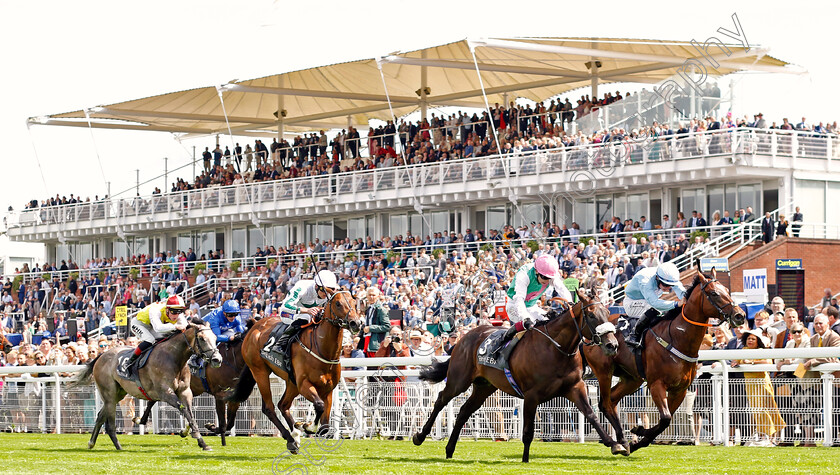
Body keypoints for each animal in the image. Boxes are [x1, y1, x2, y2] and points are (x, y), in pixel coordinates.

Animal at [74, 318, 221, 452]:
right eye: (202, 338)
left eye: (215, 337)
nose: (217, 359)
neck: (174, 357)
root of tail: (101, 355)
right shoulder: (165, 392)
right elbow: (184, 410)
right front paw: (195, 435)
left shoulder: (185, 392)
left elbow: (189, 413)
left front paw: (201, 442)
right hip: (109, 393)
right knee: (109, 423)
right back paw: (118, 447)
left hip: (118, 394)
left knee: (100, 416)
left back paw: (92, 443)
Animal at [228, 288, 360, 456]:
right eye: (338, 303)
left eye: (355, 302)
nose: (356, 323)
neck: (322, 348)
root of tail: (254, 326)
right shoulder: (304, 385)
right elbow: (319, 406)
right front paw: (308, 426)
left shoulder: (328, 389)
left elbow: (325, 427)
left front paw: (305, 427)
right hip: (260, 372)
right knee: (269, 408)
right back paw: (291, 439)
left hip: (291, 382)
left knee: (283, 405)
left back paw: (295, 436)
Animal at [414, 288, 624, 462]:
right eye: (591, 315)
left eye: (608, 313)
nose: (612, 345)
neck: (556, 349)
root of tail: (464, 337)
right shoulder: (531, 395)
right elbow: (528, 432)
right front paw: (525, 460)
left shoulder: (574, 387)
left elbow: (591, 415)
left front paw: (615, 444)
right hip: (459, 380)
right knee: (441, 399)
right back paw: (420, 436)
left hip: (484, 386)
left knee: (464, 411)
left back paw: (449, 450)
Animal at [580, 270, 744, 456]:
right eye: (715, 293)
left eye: (727, 290)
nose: (740, 315)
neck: (677, 338)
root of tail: (589, 333)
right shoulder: (656, 384)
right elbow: (665, 418)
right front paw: (639, 433)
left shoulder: (680, 390)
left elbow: (665, 420)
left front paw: (638, 437)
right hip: (604, 372)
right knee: (605, 403)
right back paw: (618, 443)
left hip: (632, 379)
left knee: (612, 400)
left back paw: (623, 441)